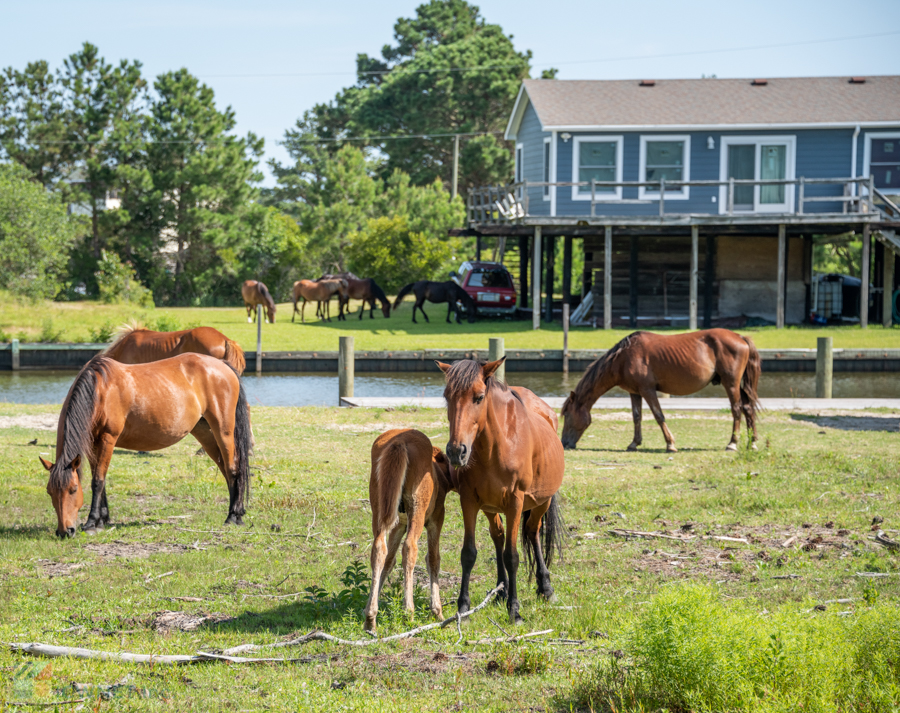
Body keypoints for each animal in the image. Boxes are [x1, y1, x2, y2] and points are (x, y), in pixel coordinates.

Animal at [38, 354, 250, 536]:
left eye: (73, 489)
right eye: (49, 491)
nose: (64, 531)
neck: (99, 390)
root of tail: (223, 365)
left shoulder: (108, 438)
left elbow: (97, 481)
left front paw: (91, 522)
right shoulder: (92, 442)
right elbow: (100, 479)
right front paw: (102, 519)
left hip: (223, 430)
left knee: (232, 468)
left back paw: (233, 516)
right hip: (204, 431)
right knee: (225, 468)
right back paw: (238, 512)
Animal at [362, 426, 454, 632]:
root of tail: (399, 441)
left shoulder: (399, 525)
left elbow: (388, 560)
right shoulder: (436, 519)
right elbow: (433, 559)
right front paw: (437, 611)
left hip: (379, 511)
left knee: (378, 548)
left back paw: (370, 618)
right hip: (417, 512)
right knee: (410, 548)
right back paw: (408, 612)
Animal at [436, 356, 564, 624]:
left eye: (479, 397)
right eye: (447, 396)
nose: (456, 452)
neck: (496, 446)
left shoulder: (515, 502)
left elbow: (512, 556)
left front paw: (514, 610)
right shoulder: (469, 501)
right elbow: (469, 553)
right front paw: (463, 608)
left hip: (541, 502)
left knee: (533, 533)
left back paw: (545, 588)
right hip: (490, 506)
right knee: (498, 536)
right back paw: (501, 590)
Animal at [564, 328, 760, 450]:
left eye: (566, 415)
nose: (564, 443)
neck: (624, 358)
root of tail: (740, 337)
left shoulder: (647, 390)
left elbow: (659, 415)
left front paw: (670, 444)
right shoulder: (634, 392)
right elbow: (636, 417)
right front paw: (634, 443)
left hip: (731, 383)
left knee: (736, 409)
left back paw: (732, 443)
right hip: (739, 385)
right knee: (748, 408)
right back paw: (752, 443)